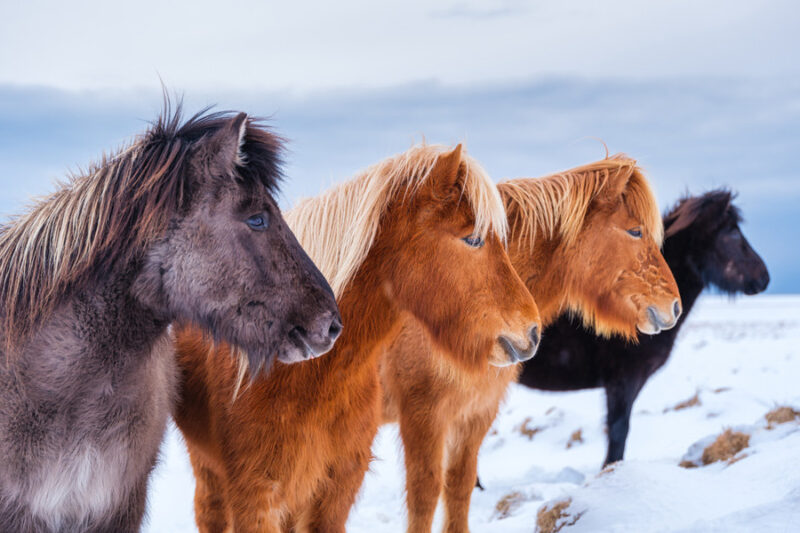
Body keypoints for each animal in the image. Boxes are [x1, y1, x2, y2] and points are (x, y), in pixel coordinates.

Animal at [380, 154, 682, 533]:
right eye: (635, 230)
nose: (674, 306)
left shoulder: (475, 413)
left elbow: (459, 487)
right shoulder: (423, 415)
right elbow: (424, 495)